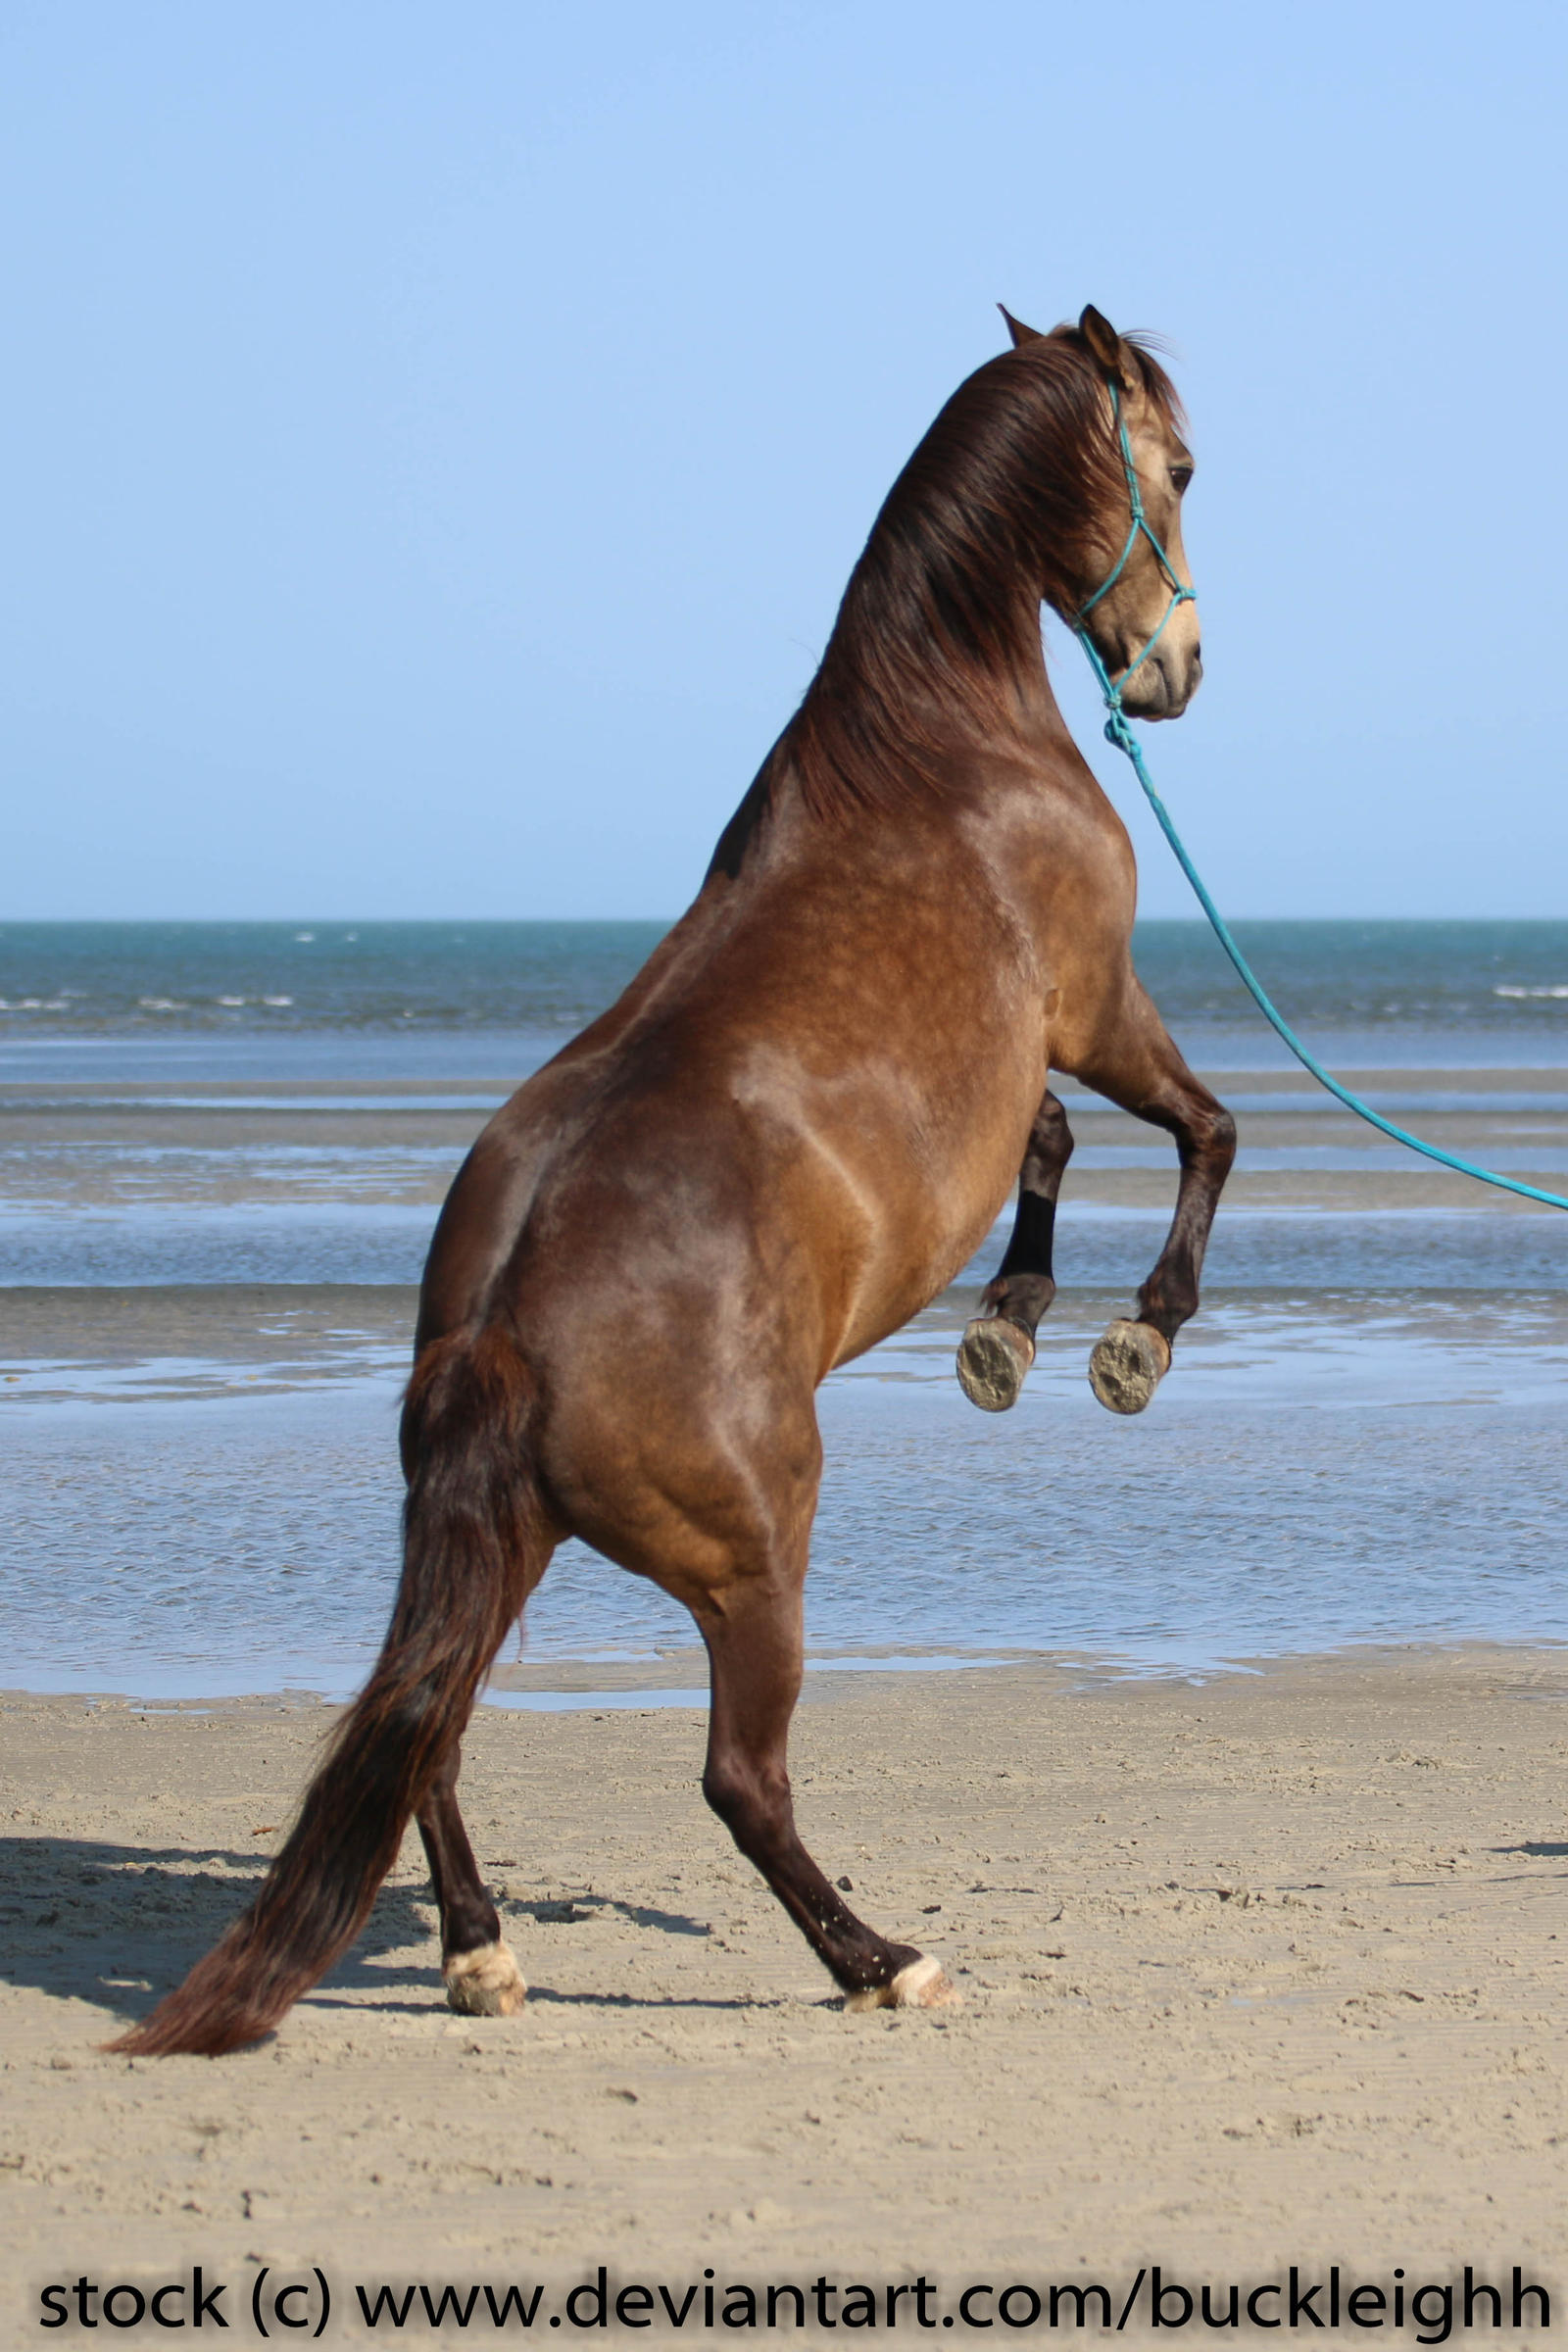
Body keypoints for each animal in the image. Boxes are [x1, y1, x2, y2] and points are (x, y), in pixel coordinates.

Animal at [111, 303, 1233, 2056]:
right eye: (1177, 467)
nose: (1177, 673)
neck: (947, 739)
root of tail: (501, 1330)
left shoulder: (1029, 1072)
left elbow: (1055, 1146)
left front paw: (1010, 1324)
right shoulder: (1099, 1003)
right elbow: (1202, 1127)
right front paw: (1134, 1335)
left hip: (499, 1546)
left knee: (427, 1734)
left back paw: (483, 1957)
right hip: (756, 1555)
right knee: (737, 1780)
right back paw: (881, 1959)